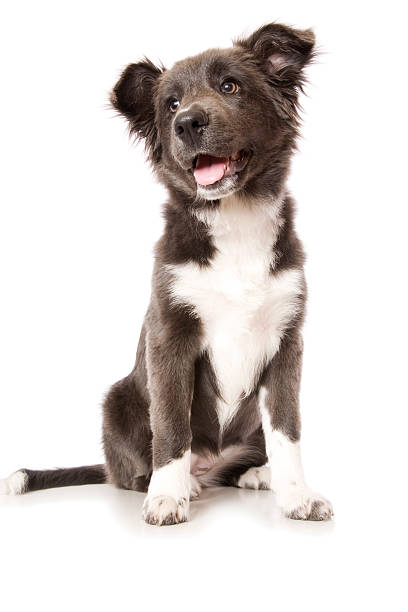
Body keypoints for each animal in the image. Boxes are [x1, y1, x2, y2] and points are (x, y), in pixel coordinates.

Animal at [0, 23, 334, 524]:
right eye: (171, 104)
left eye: (230, 86)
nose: (188, 123)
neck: (235, 223)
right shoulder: (169, 337)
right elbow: (172, 425)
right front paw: (167, 496)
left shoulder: (286, 340)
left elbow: (287, 428)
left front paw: (297, 494)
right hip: (117, 401)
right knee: (128, 472)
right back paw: (180, 483)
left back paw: (256, 474)